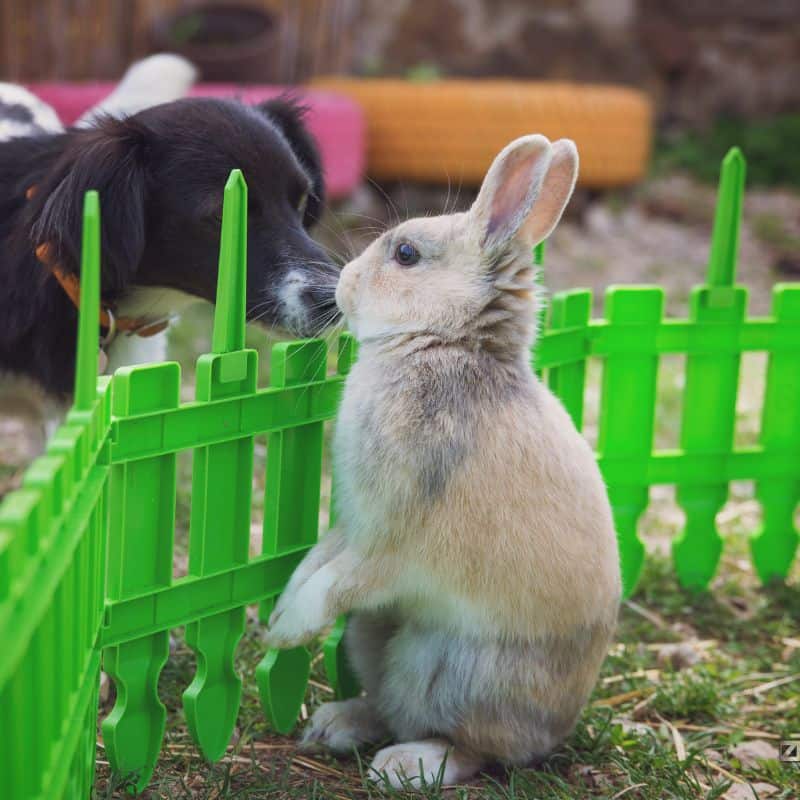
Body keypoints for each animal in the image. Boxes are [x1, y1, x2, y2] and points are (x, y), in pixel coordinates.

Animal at [266, 136, 620, 788]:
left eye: (406, 254)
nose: (343, 285)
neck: (444, 342)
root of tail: (554, 732)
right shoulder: (353, 523)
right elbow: (315, 564)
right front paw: (278, 613)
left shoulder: (389, 544)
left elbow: (333, 584)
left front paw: (284, 632)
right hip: (372, 633)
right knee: (388, 705)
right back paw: (336, 725)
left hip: (452, 673)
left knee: (474, 749)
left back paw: (405, 764)